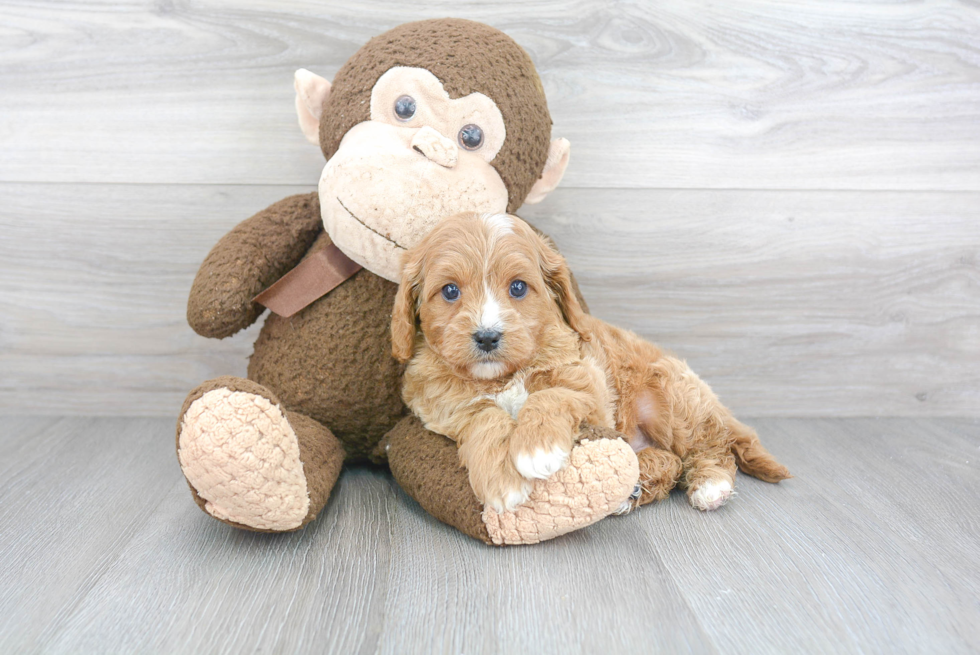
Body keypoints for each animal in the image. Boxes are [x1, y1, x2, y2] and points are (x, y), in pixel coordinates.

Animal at [390, 213, 788, 516]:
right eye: (450, 291)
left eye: (518, 288)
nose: (487, 337)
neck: (501, 377)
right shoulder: (443, 407)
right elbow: (483, 418)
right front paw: (502, 479)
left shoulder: (589, 389)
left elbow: (549, 396)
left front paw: (537, 448)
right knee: (670, 462)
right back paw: (633, 488)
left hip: (673, 399)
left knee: (712, 445)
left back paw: (710, 484)